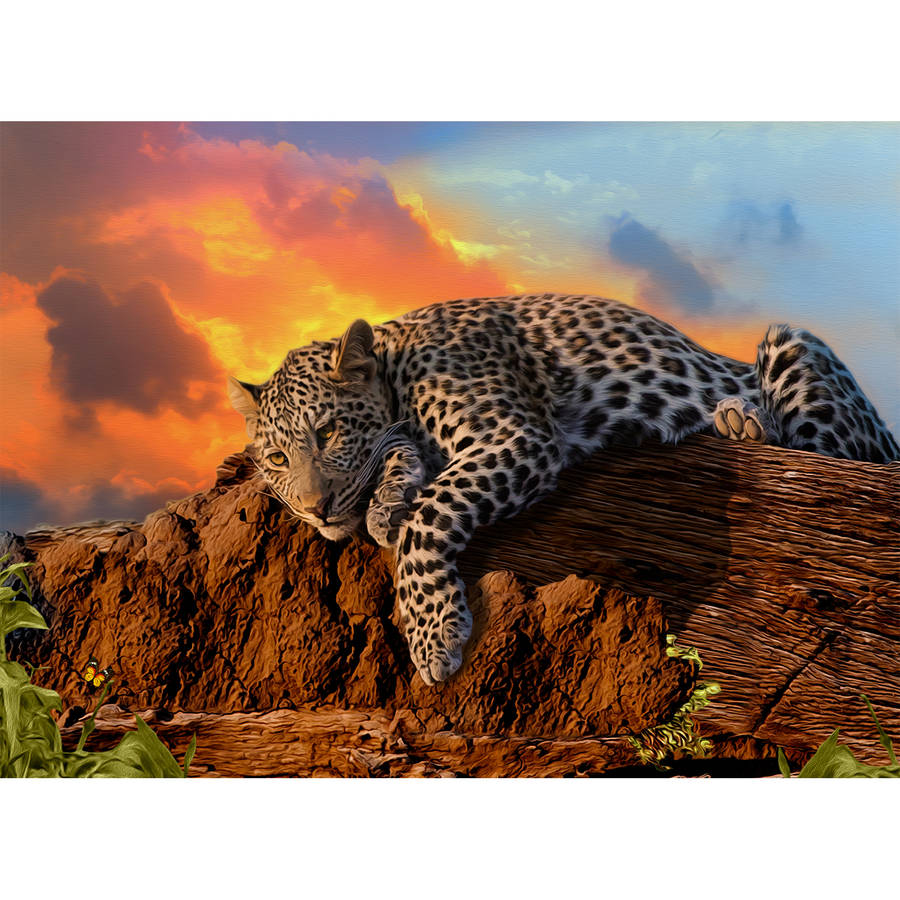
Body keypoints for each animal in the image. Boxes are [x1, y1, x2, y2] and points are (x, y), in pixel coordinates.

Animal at [228, 293, 899, 685]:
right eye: (277, 458)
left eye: (329, 431)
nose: (315, 509)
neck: (397, 365)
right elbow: (399, 462)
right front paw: (386, 503)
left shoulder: (517, 437)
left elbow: (429, 517)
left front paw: (433, 635)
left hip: (794, 348)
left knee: (834, 455)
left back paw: (743, 417)